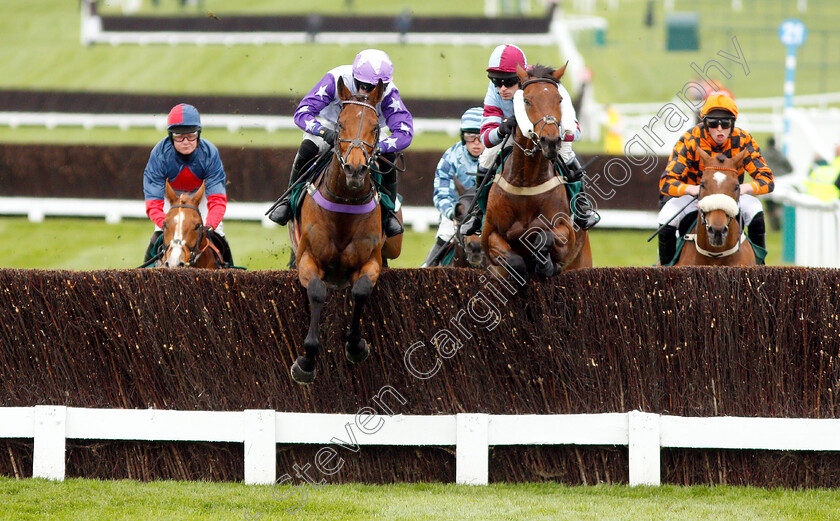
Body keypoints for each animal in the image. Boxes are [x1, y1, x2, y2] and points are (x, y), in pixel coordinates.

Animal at [288, 78, 404, 386]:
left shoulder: (371, 260)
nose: (355, 169)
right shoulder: (308, 258)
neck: (344, 204)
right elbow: (317, 292)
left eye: (375, 127)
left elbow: (362, 290)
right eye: (340, 124)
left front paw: (355, 345)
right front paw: (306, 361)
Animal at [482, 63, 592, 282]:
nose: (550, 141)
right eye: (526, 100)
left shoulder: (566, 230)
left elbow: (545, 236)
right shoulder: (489, 235)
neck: (527, 181)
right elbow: (512, 259)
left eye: (559, 99)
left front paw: (545, 264)